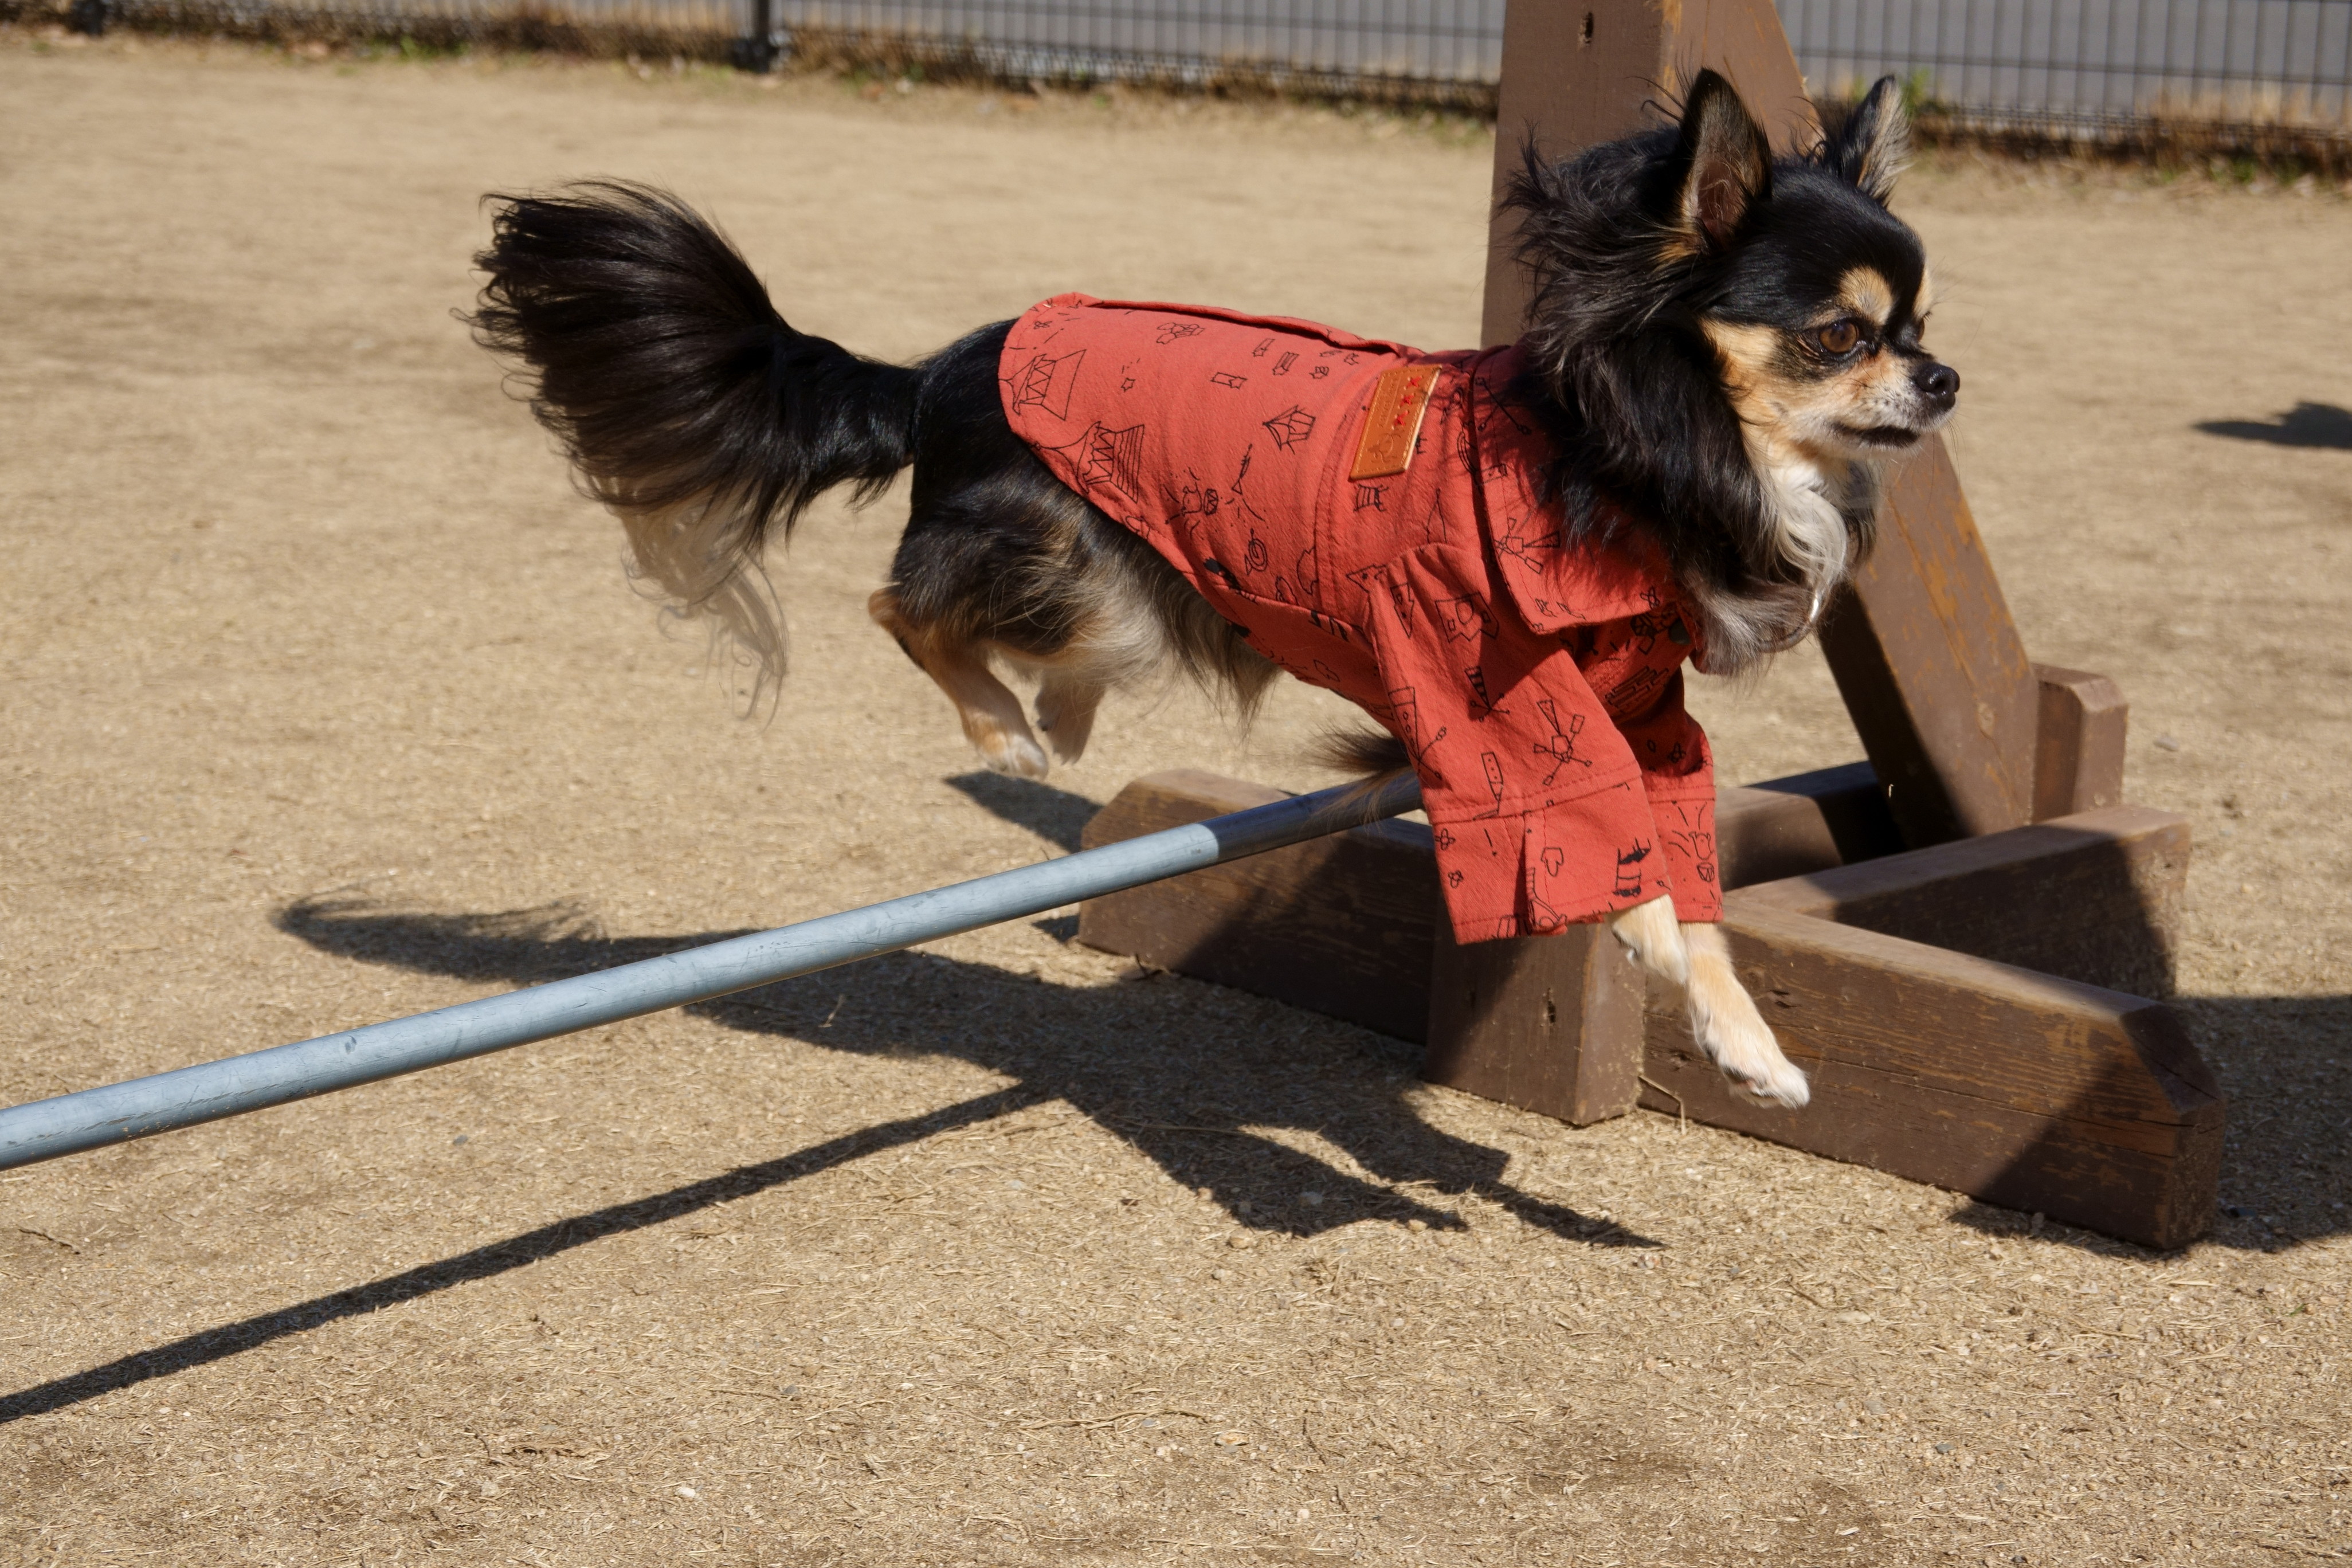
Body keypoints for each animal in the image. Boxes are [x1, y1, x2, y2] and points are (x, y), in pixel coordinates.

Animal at [458, 70, 1947, 1104]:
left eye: (1924, 321)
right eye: (1840, 334)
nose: (1943, 378)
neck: (1634, 453)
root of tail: (937, 369)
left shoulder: (1645, 715)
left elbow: (1690, 878)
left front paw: (1742, 1038)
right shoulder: (1504, 718)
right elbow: (1607, 858)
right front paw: (1687, 997)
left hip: (1118, 595)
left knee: (1043, 651)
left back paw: (1052, 721)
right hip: (1061, 554)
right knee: (903, 605)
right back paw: (1004, 727)